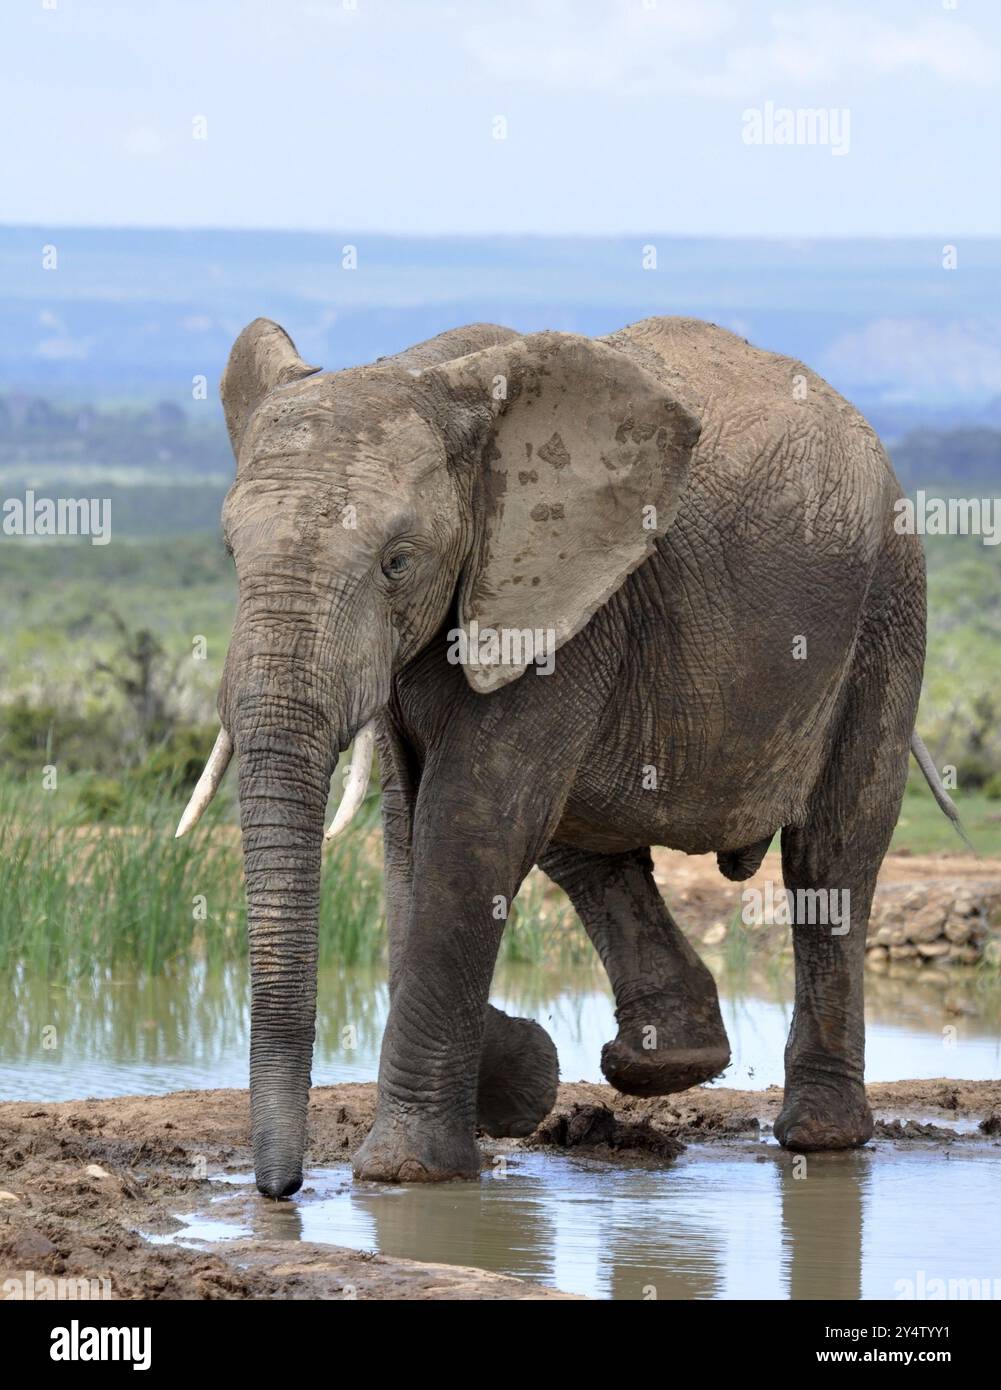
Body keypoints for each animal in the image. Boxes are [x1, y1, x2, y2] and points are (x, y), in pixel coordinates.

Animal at [175, 315, 956, 1195]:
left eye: (397, 562)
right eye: (230, 553)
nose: (281, 1190)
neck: (429, 376)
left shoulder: (561, 606)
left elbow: (471, 825)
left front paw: (407, 1172)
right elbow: (413, 836)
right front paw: (513, 1080)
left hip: (888, 600)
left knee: (833, 850)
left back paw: (818, 1138)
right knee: (578, 840)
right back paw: (661, 1065)